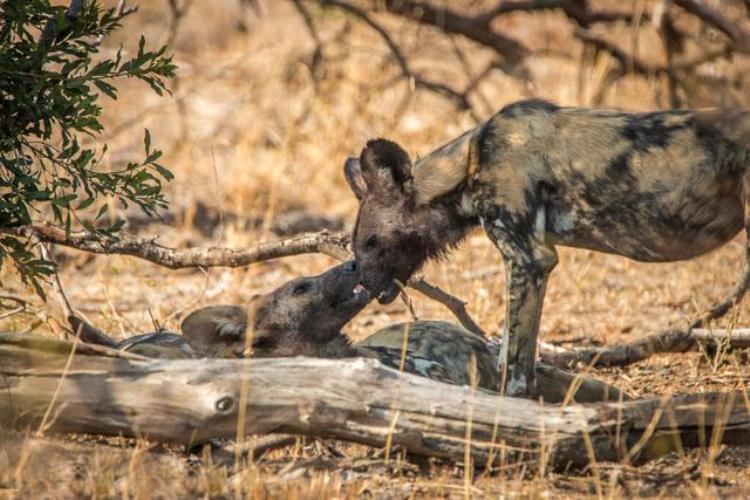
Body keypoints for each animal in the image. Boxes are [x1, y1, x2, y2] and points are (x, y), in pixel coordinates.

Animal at [346, 98, 750, 398]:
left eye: (372, 241)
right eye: (355, 245)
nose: (362, 285)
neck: (469, 164)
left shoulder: (528, 259)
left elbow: (514, 373)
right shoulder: (533, 262)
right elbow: (514, 357)